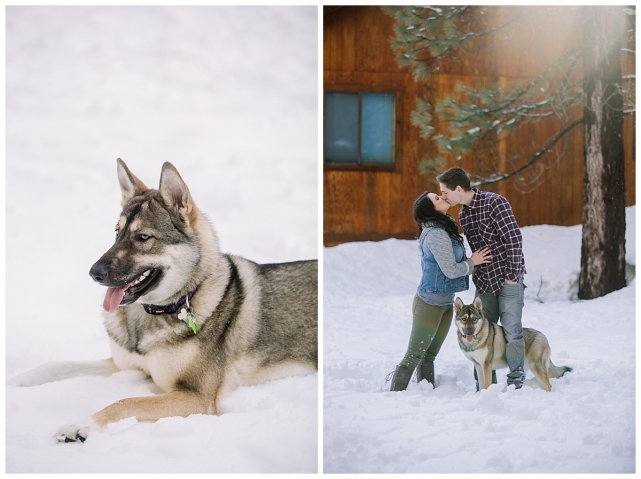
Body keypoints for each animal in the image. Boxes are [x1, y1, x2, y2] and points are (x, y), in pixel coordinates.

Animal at [8, 160, 318, 442]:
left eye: (143, 237)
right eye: (117, 232)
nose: (93, 273)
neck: (152, 315)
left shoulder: (196, 397)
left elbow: (125, 402)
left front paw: (79, 425)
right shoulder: (124, 366)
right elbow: (58, 364)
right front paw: (15, 380)